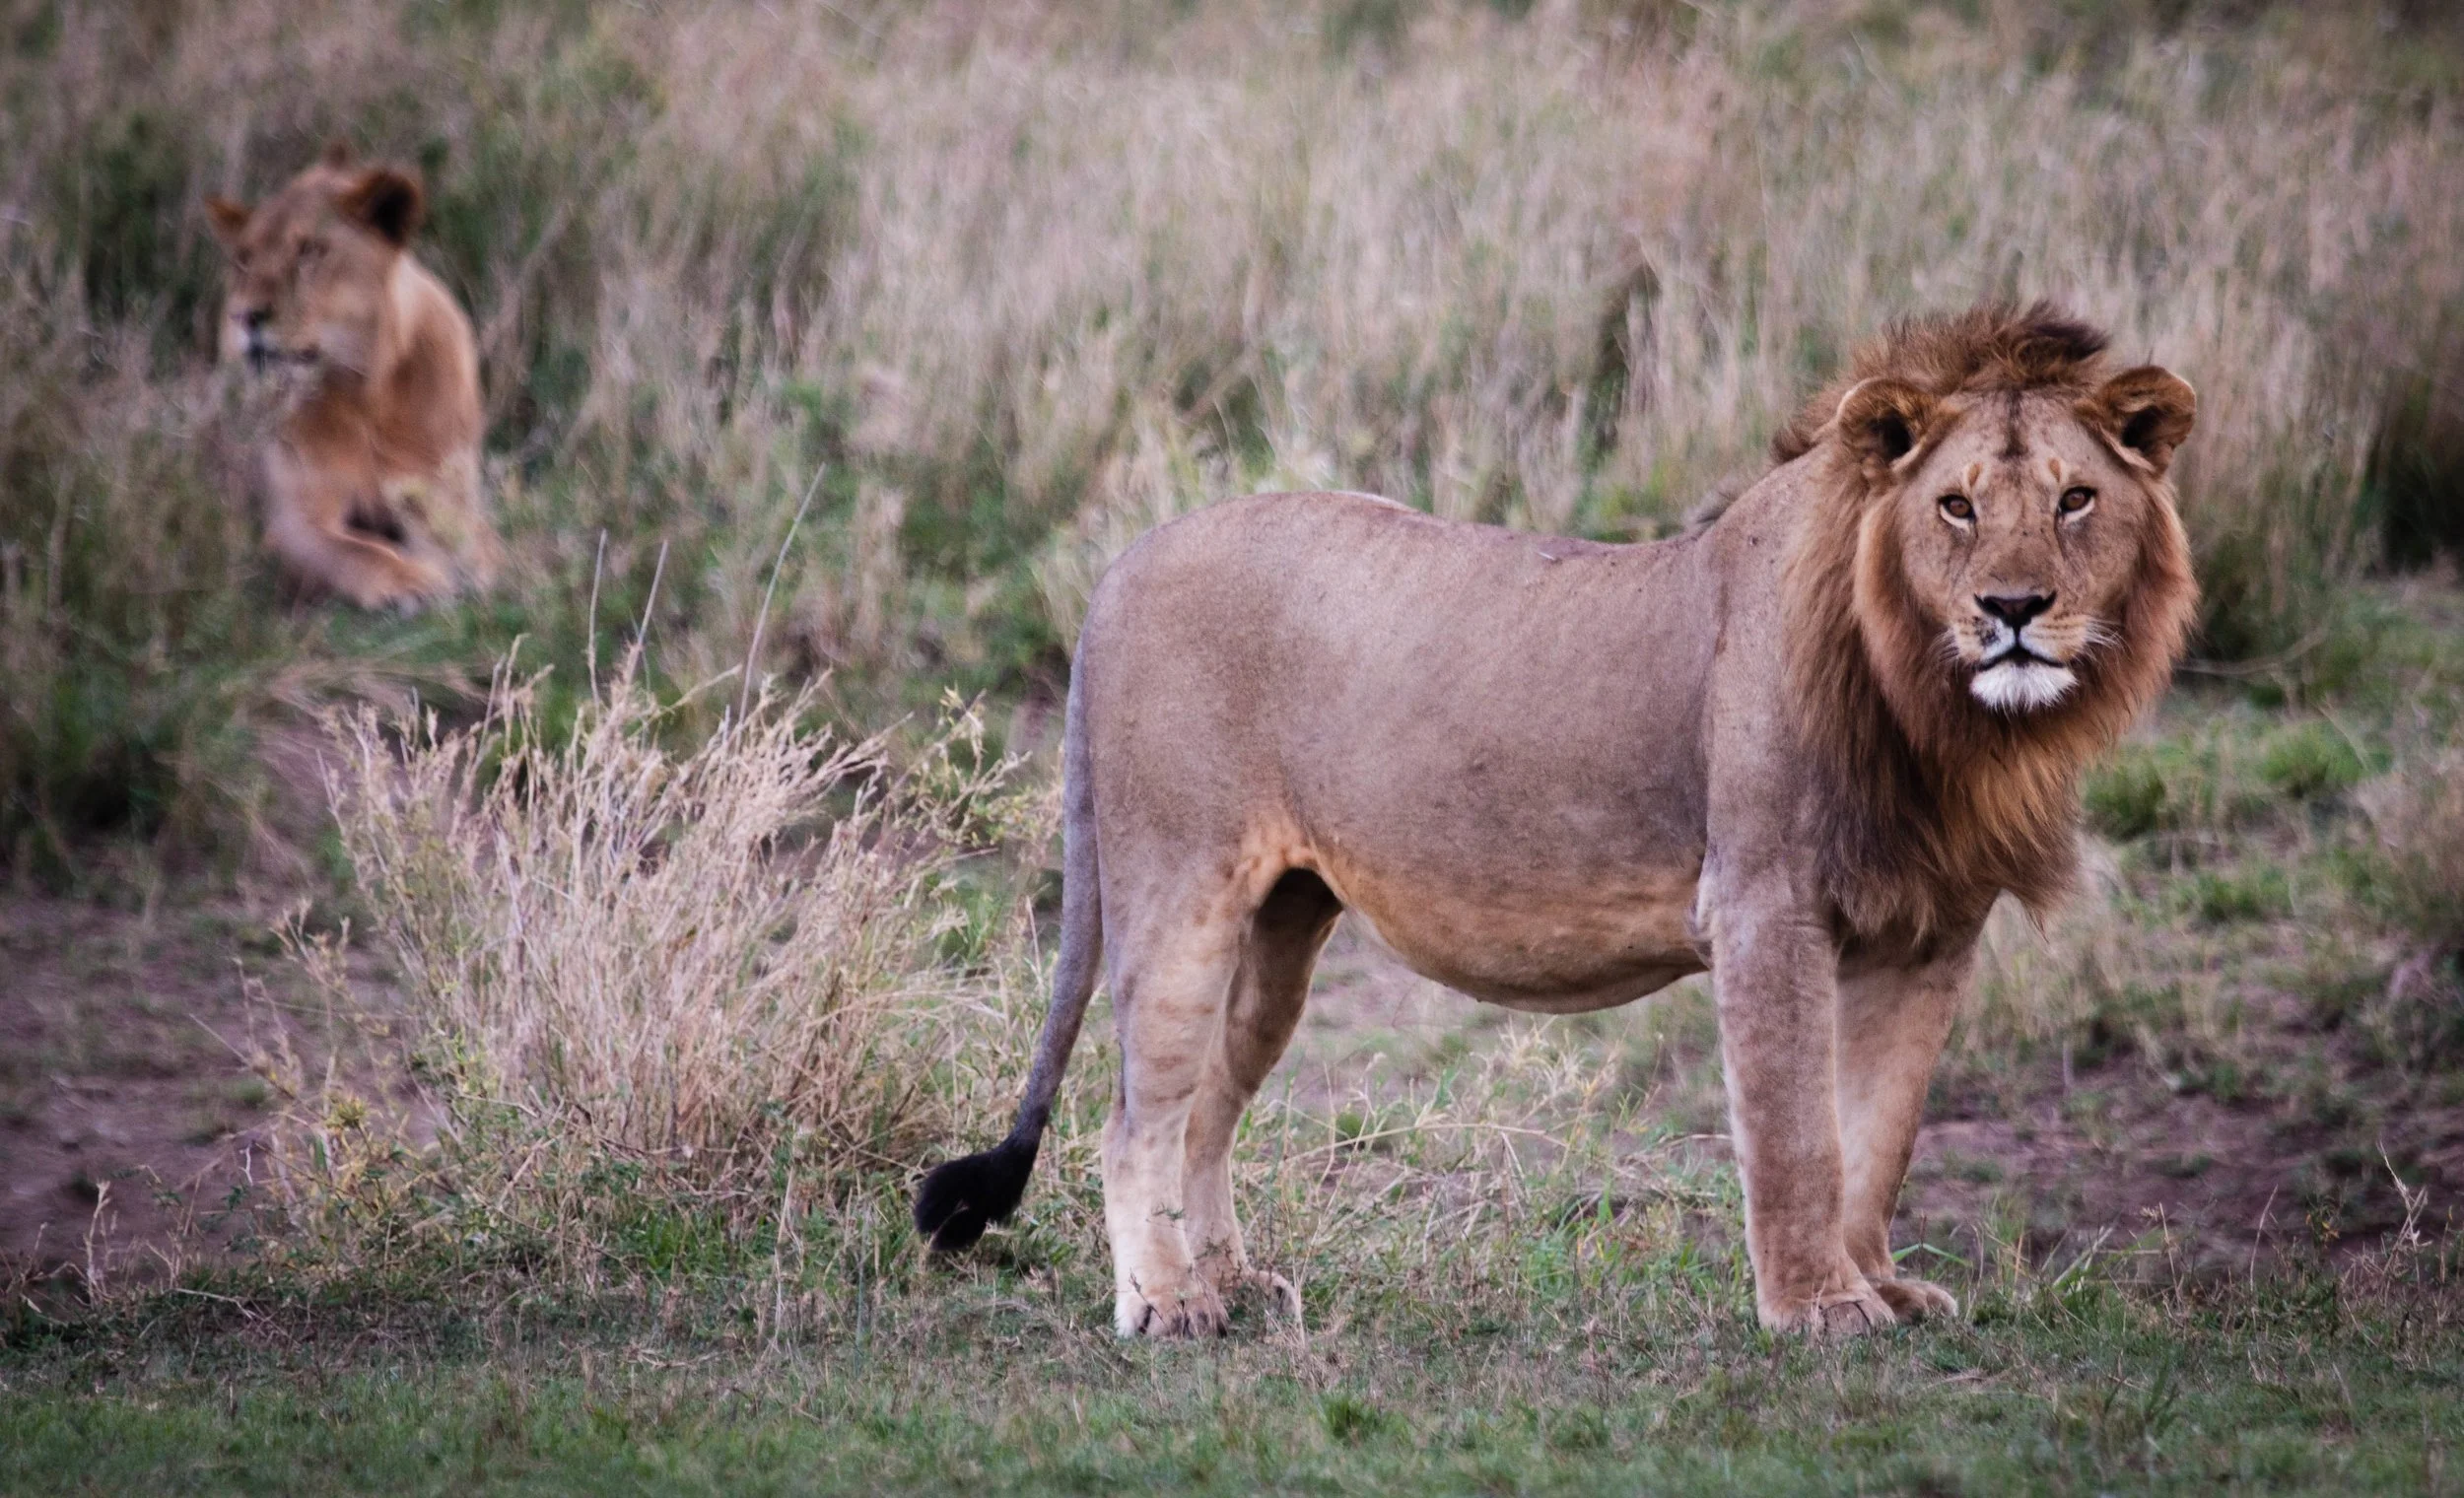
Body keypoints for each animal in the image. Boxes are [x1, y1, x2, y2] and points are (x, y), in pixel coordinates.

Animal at [205, 142, 499, 611]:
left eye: (308, 250)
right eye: (244, 259)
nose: (243, 316)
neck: (365, 394)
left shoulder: (439, 492)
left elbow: (475, 539)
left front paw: (477, 566)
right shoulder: (291, 520)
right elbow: (355, 552)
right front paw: (413, 580)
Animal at [915, 302, 2198, 1338]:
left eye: (2076, 499)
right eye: (1956, 506)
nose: (2014, 609)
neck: (1941, 715)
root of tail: (1121, 564)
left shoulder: (1929, 930)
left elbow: (1878, 1137)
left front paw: (1879, 1284)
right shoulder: (1763, 904)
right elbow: (1797, 1134)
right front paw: (1816, 1308)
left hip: (1278, 926)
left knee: (1204, 1114)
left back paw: (1228, 1282)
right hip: (1177, 890)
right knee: (1134, 1118)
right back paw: (1168, 1305)